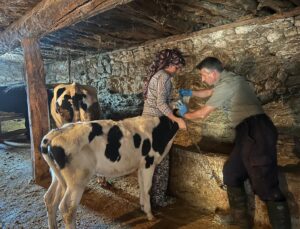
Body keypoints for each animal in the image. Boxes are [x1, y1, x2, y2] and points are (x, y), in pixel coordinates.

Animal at [39, 116, 178, 229]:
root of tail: (55, 133)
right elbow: (148, 189)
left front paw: (143, 207)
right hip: (78, 179)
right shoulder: (149, 162)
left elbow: (142, 187)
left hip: (58, 177)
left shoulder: (141, 166)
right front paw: (150, 215)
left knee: (49, 199)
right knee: (67, 208)